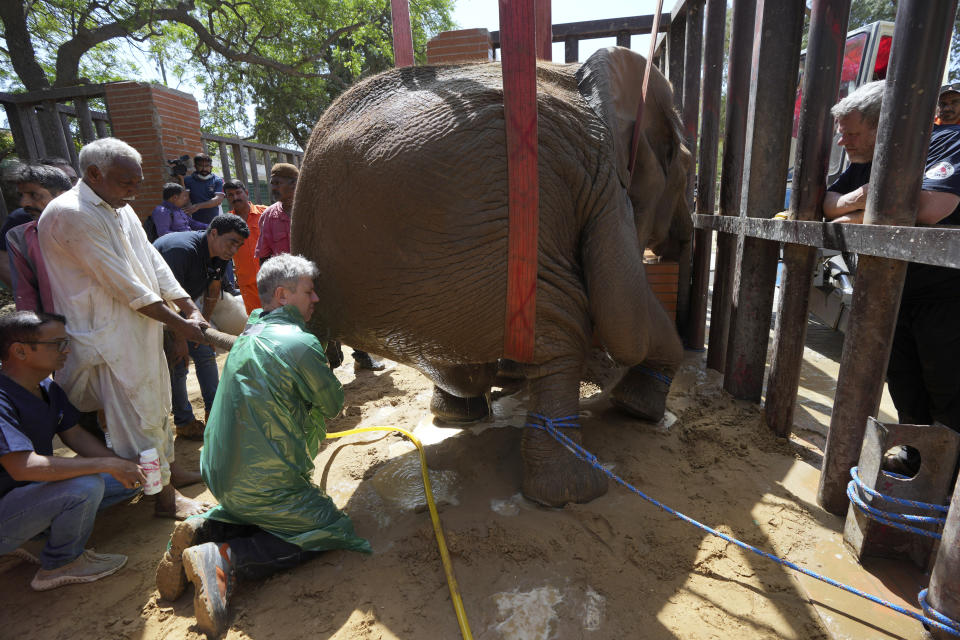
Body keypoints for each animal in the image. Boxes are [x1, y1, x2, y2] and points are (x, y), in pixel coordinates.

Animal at [292, 45, 688, 508]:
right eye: (685, 169)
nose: (677, 246)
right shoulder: (604, 177)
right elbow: (626, 322)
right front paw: (636, 411)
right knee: (563, 332)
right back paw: (573, 491)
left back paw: (461, 413)